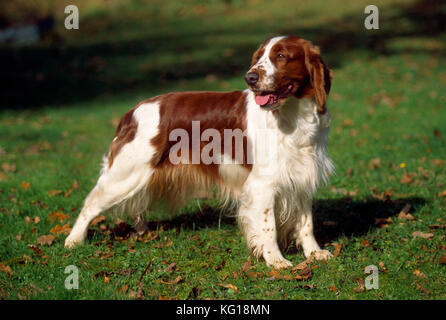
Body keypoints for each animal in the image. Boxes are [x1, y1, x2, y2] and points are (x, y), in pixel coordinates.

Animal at [64, 35, 332, 270]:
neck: (292, 117)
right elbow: (269, 226)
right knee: (91, 202)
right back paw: (73, 241)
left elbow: (306, 223)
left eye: (281, 55)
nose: (250, 77)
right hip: (127, 173)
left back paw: (142, 231)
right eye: (258, 57)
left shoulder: (302, 176)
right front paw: (276, 260)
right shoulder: (262, 184)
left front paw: (315, 253)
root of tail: (132, 112)